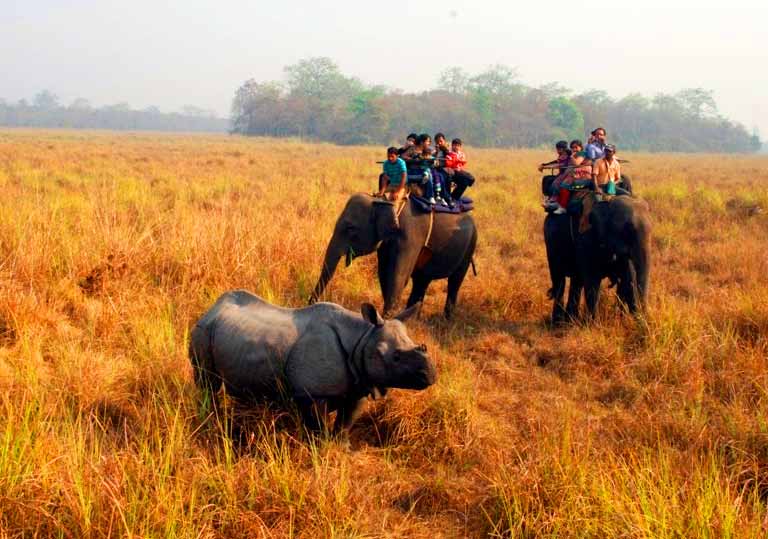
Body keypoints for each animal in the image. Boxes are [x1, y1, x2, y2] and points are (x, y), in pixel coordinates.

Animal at [309, 193, 477, 319]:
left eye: (351, 228)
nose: (309, 304)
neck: (385, 201)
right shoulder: (385, 242)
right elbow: (384, 274)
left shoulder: (411, 236)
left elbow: (398, 275)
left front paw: (387, 320)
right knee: (422, 281)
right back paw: (413, 320)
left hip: (470, 245)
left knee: (455, 281)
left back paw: (446, 319)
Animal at [543, 194, 651, 324]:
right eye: (627, 230)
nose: (645, 318)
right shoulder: (586, 238)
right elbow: (592, 280)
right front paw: (593, 324)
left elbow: (629, 279)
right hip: (550, 242)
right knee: (559, 280)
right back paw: (559, 323)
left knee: (576, 281)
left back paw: (570, 321)